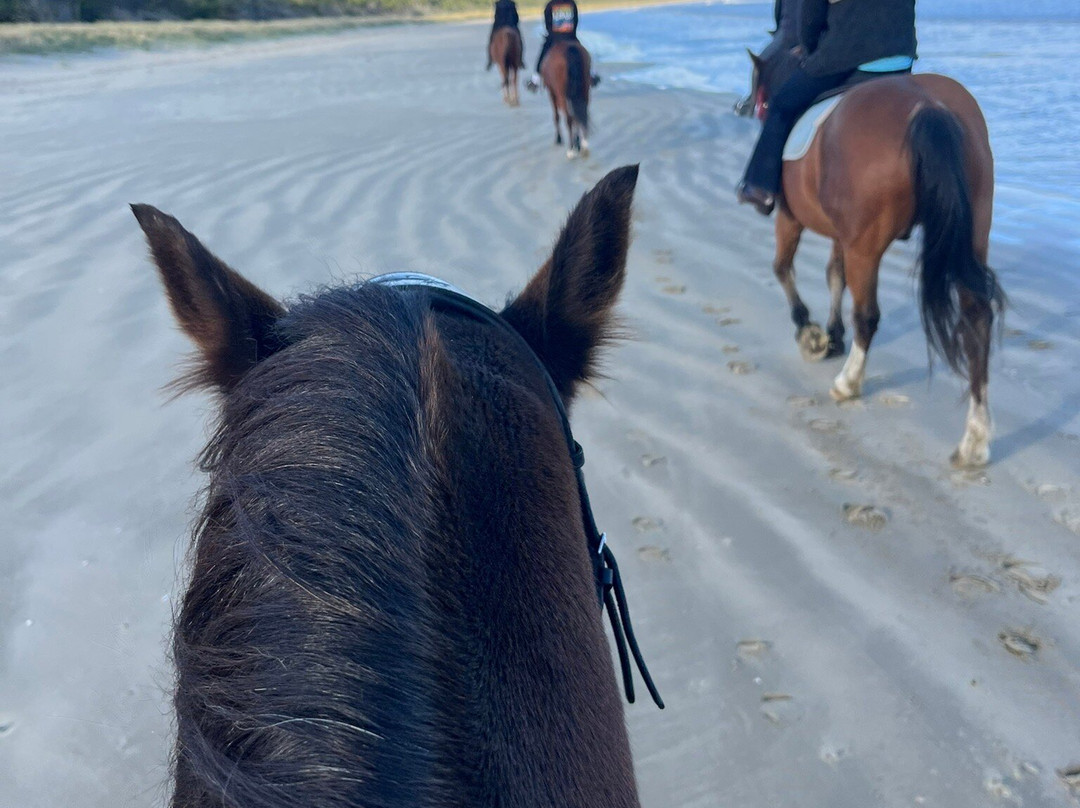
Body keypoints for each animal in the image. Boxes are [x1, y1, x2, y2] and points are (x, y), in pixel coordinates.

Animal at [747, 51, 1004, 468]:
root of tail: (928, 106)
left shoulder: (791, 217)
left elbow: (783, 268)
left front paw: (810, 334)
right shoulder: (843, 235)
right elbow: (834, 275)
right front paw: (833, 335)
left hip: (866, 245)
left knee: (868, 315)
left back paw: (848, 382)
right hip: (972, 232)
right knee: (976, 318)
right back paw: (975, 439)